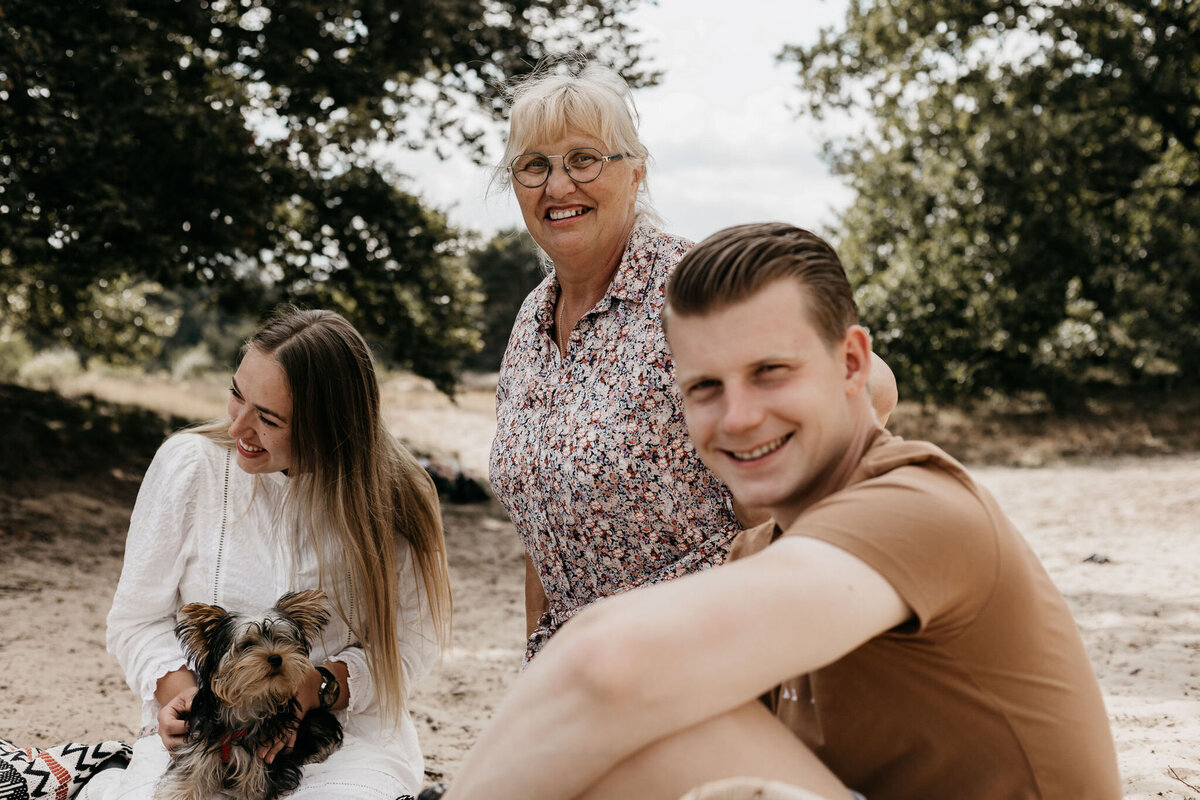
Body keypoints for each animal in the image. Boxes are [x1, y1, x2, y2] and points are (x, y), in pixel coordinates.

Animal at [157, 587, 345, 800]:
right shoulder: (201, 743)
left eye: (281, 640)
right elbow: (190, 772)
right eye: (247, 645)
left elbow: (255, 788)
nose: (276, 658)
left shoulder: (264, 762)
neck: (248, 701)